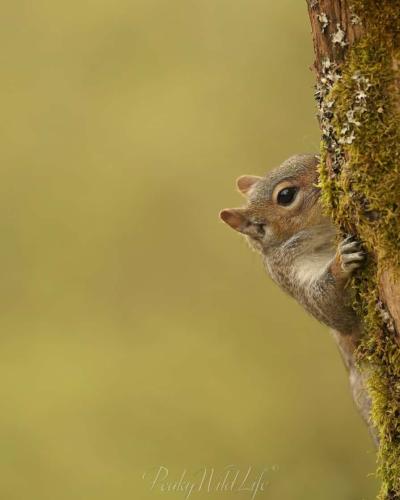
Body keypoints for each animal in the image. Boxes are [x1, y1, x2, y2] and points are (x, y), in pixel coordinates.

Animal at [222, 153, 376, 442]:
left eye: (299, 157)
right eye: (286, 196)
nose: (322, 162)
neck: (323, 233)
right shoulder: (294, 276)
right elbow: (333, 311)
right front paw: (341, 262)